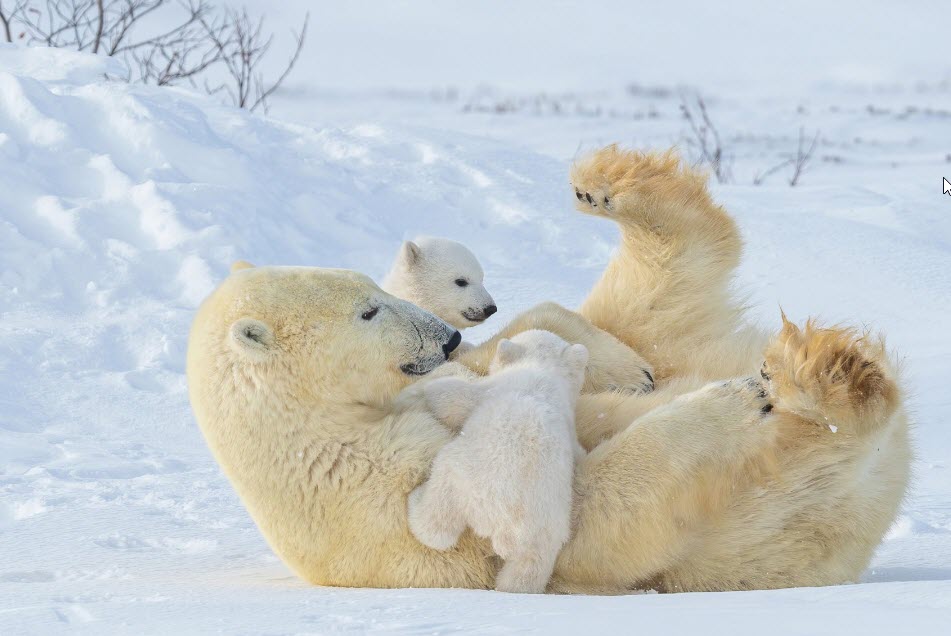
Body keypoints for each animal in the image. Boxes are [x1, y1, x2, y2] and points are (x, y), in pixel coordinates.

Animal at [408, 330, 588, 593]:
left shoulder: (491, 389)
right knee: (526, 573)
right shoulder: (569, 422)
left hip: (461, 478)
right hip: (546, 533)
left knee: (437, 523)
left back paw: (416, 501)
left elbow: (453, 397)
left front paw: (437, 382)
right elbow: (578, 450)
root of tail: (506, 525)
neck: (543, 370)